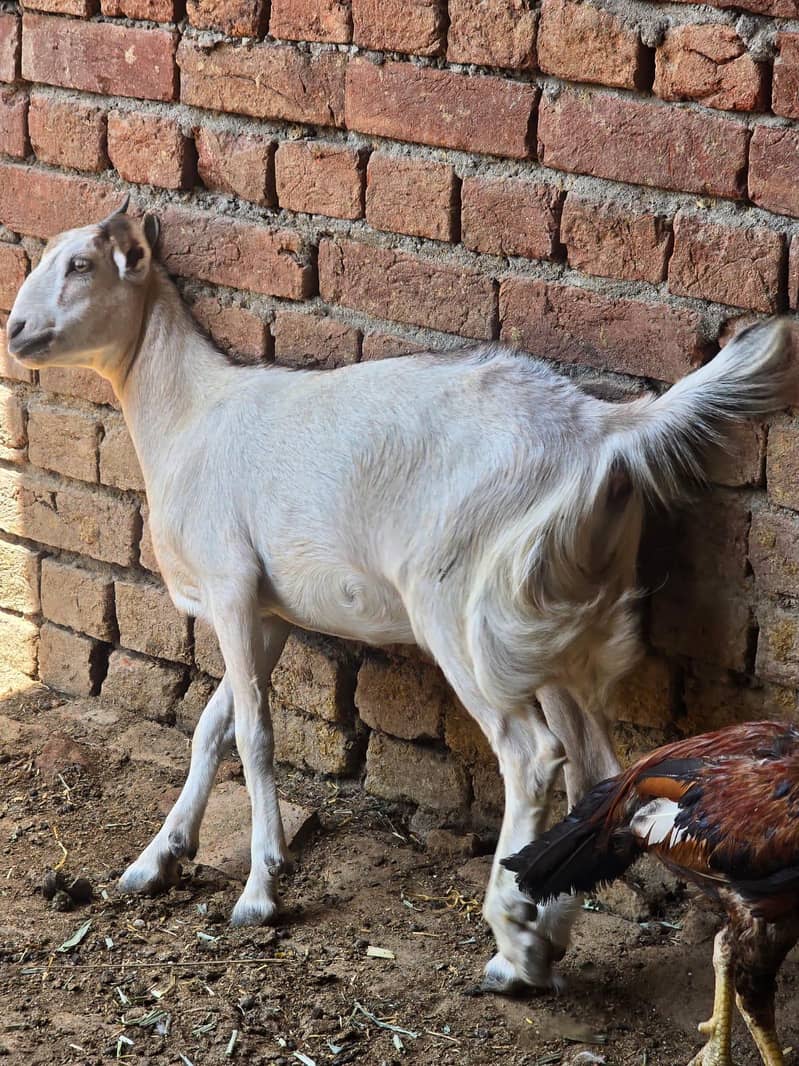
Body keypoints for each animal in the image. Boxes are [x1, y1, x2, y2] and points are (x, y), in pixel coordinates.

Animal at [6, 201, 793, 993]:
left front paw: (260, 890)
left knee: (532, 756)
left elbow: (255, 736)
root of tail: (603, 428)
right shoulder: (267, 610)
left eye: (82, 266)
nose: (16, 331)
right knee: (594, 771)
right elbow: (211, 726)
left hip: (462, 607)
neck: (188, 416)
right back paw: (538, 948)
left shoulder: (229, 585)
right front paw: (157, 860)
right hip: (548, 618)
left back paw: (512, 932)